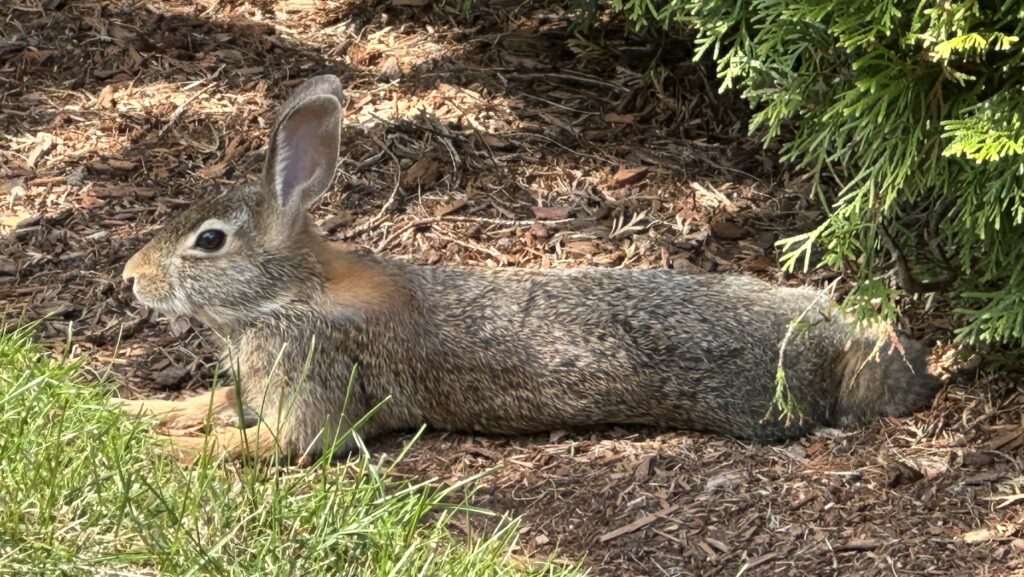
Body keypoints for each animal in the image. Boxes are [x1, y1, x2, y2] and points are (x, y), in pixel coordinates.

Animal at [118, 75, 942, 462]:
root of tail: (843, 344)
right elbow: (214, 403)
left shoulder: (311, 387)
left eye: (210, 241)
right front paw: (144, 414)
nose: (130, 278)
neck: (289, 293)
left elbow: (271, 444)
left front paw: (168, 451)